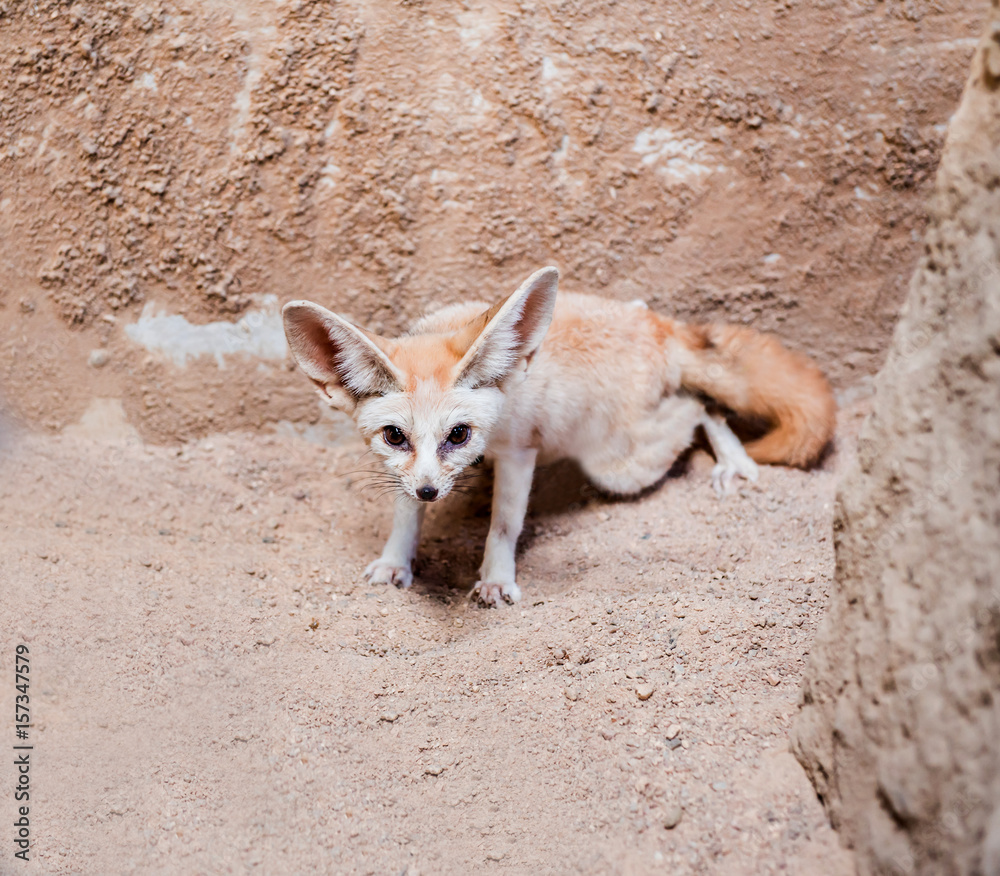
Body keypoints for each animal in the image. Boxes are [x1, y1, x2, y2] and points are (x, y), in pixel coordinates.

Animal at [282, 267, 836, 607]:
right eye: (395, 436)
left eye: (458, 434)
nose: (430, 492)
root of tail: (659, 328)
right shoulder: (405, 474)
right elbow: (403, 515)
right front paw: (396, 561)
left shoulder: (520, 450)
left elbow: (504, 525)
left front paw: (496, 578)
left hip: (620, 464)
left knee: (699, 403)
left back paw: (731, 459)